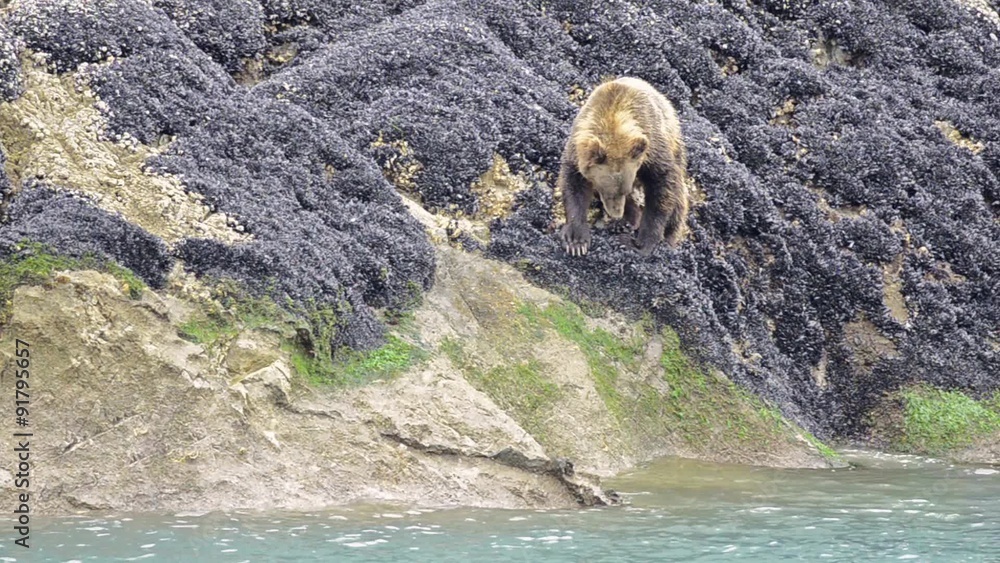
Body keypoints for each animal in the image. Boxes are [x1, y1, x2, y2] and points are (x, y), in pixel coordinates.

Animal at [558, 77, 689, 257]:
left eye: (624, 191)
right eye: (606, 191)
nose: (616, 214)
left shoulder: (652, 149)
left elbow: (662, 185)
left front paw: (642, 242)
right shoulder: (577, 150)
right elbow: (573, 185)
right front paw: (576, 241)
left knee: (678, 196)